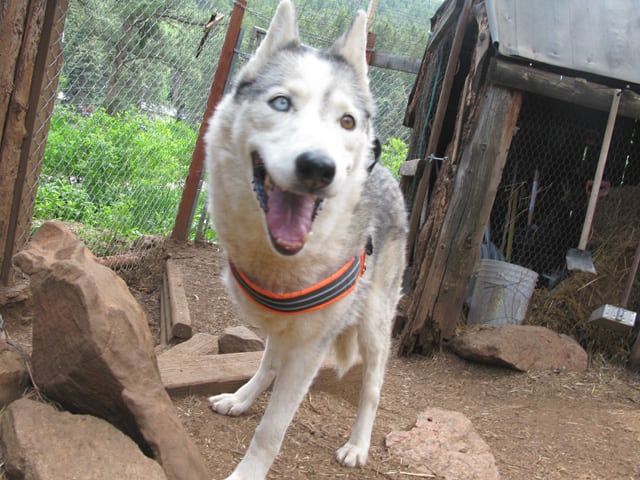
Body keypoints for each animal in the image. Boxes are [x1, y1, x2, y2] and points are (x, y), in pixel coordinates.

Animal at [204, 1, 404, 478]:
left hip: (374, 324)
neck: (282, 264)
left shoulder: (312, 348)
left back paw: (357, 445)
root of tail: (385, 172)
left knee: (372, 388)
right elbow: (268, 367)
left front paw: (247, 474)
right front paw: (244, 400)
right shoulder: (287, 332)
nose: (318, 167)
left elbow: (271, 431)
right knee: (268, 362)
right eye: (281, 103)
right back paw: (240, 398)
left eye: (347, 121)